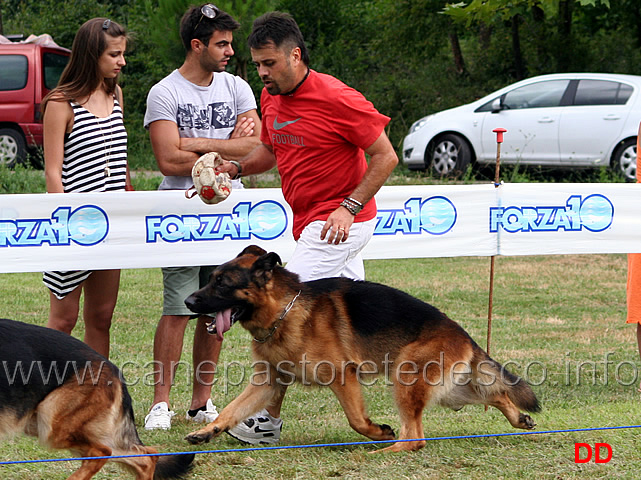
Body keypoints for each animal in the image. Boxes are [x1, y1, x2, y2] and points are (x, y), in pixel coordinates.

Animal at [182, 246, 536, 452]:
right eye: (211, 279)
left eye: (222, 283)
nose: (187, 302)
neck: (284, 310)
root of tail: (464, 336)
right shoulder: (267, 382)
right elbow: (232, 409)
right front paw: (208, 431)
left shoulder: (343, 376)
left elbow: (355, 419)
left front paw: (378, 431)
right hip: (450, 391)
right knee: (496, 394)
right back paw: (519, 419)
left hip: (407, 378)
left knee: (415, 437)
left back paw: (383, 451)